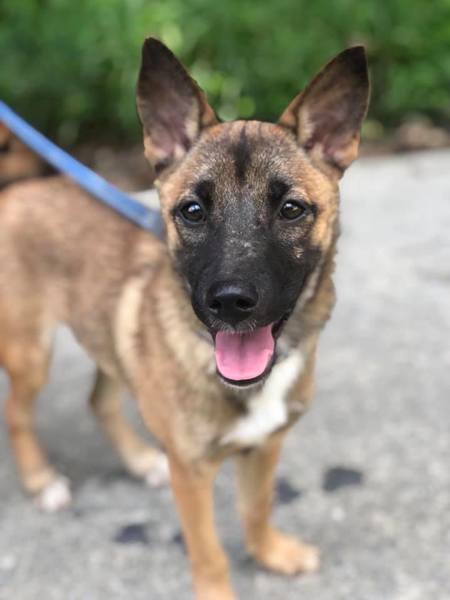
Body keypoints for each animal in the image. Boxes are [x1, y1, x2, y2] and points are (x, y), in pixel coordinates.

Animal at [0, 38, 369, 600]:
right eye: (192, 210)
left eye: (291, 209)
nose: (231, 302)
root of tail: (19, 188)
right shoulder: (192, 473)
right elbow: (209, 551)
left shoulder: (266, 446)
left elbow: (257, 508)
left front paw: (271, 554)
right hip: (30, 352)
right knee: (18, 415)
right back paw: (42, 483)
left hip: (109, 335)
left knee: (99, 399)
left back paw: (138, 460)